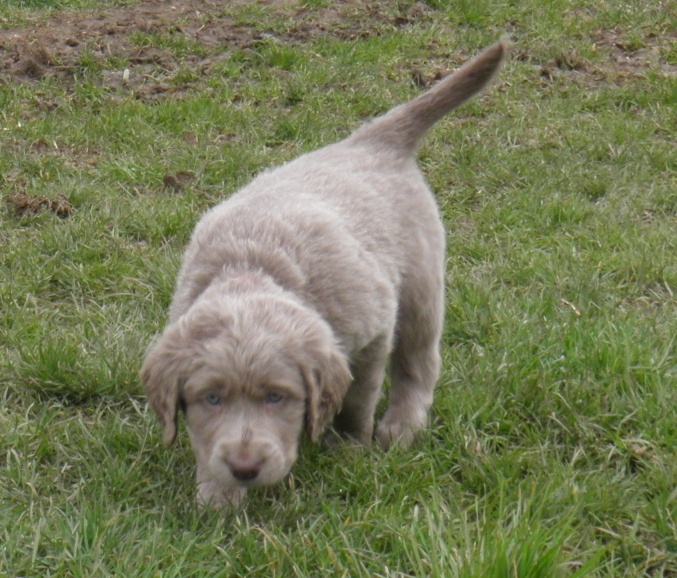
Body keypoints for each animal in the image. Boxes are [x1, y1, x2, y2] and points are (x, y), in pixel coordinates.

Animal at [141, 40, 506, 508]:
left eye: (276, 396)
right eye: (212, 398)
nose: (245, 469)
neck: (251, 268)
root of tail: (371, 141)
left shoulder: (372, 332)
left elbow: (356, 397)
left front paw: (348, 445)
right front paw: (218, 494)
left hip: (421, 284)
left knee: (418, 362)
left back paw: (402, 426)